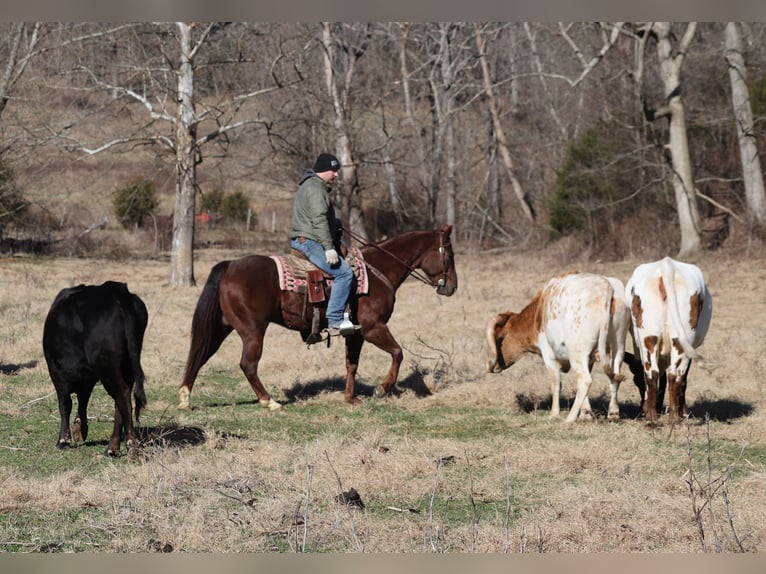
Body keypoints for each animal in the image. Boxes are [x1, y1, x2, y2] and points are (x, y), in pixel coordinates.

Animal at [177, 225, 458, 410]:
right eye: (449, 254)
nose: (452, 287)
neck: (376, 272)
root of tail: (230, 266)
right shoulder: (373, 328)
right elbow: (398, 353)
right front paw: (382, 388)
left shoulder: (355, 333)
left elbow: (351, 364)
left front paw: (350, 398)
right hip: (253, 330)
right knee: (248, 364)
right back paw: (269, 401)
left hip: (223, 327)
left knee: (200, 355)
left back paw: (185, 398)